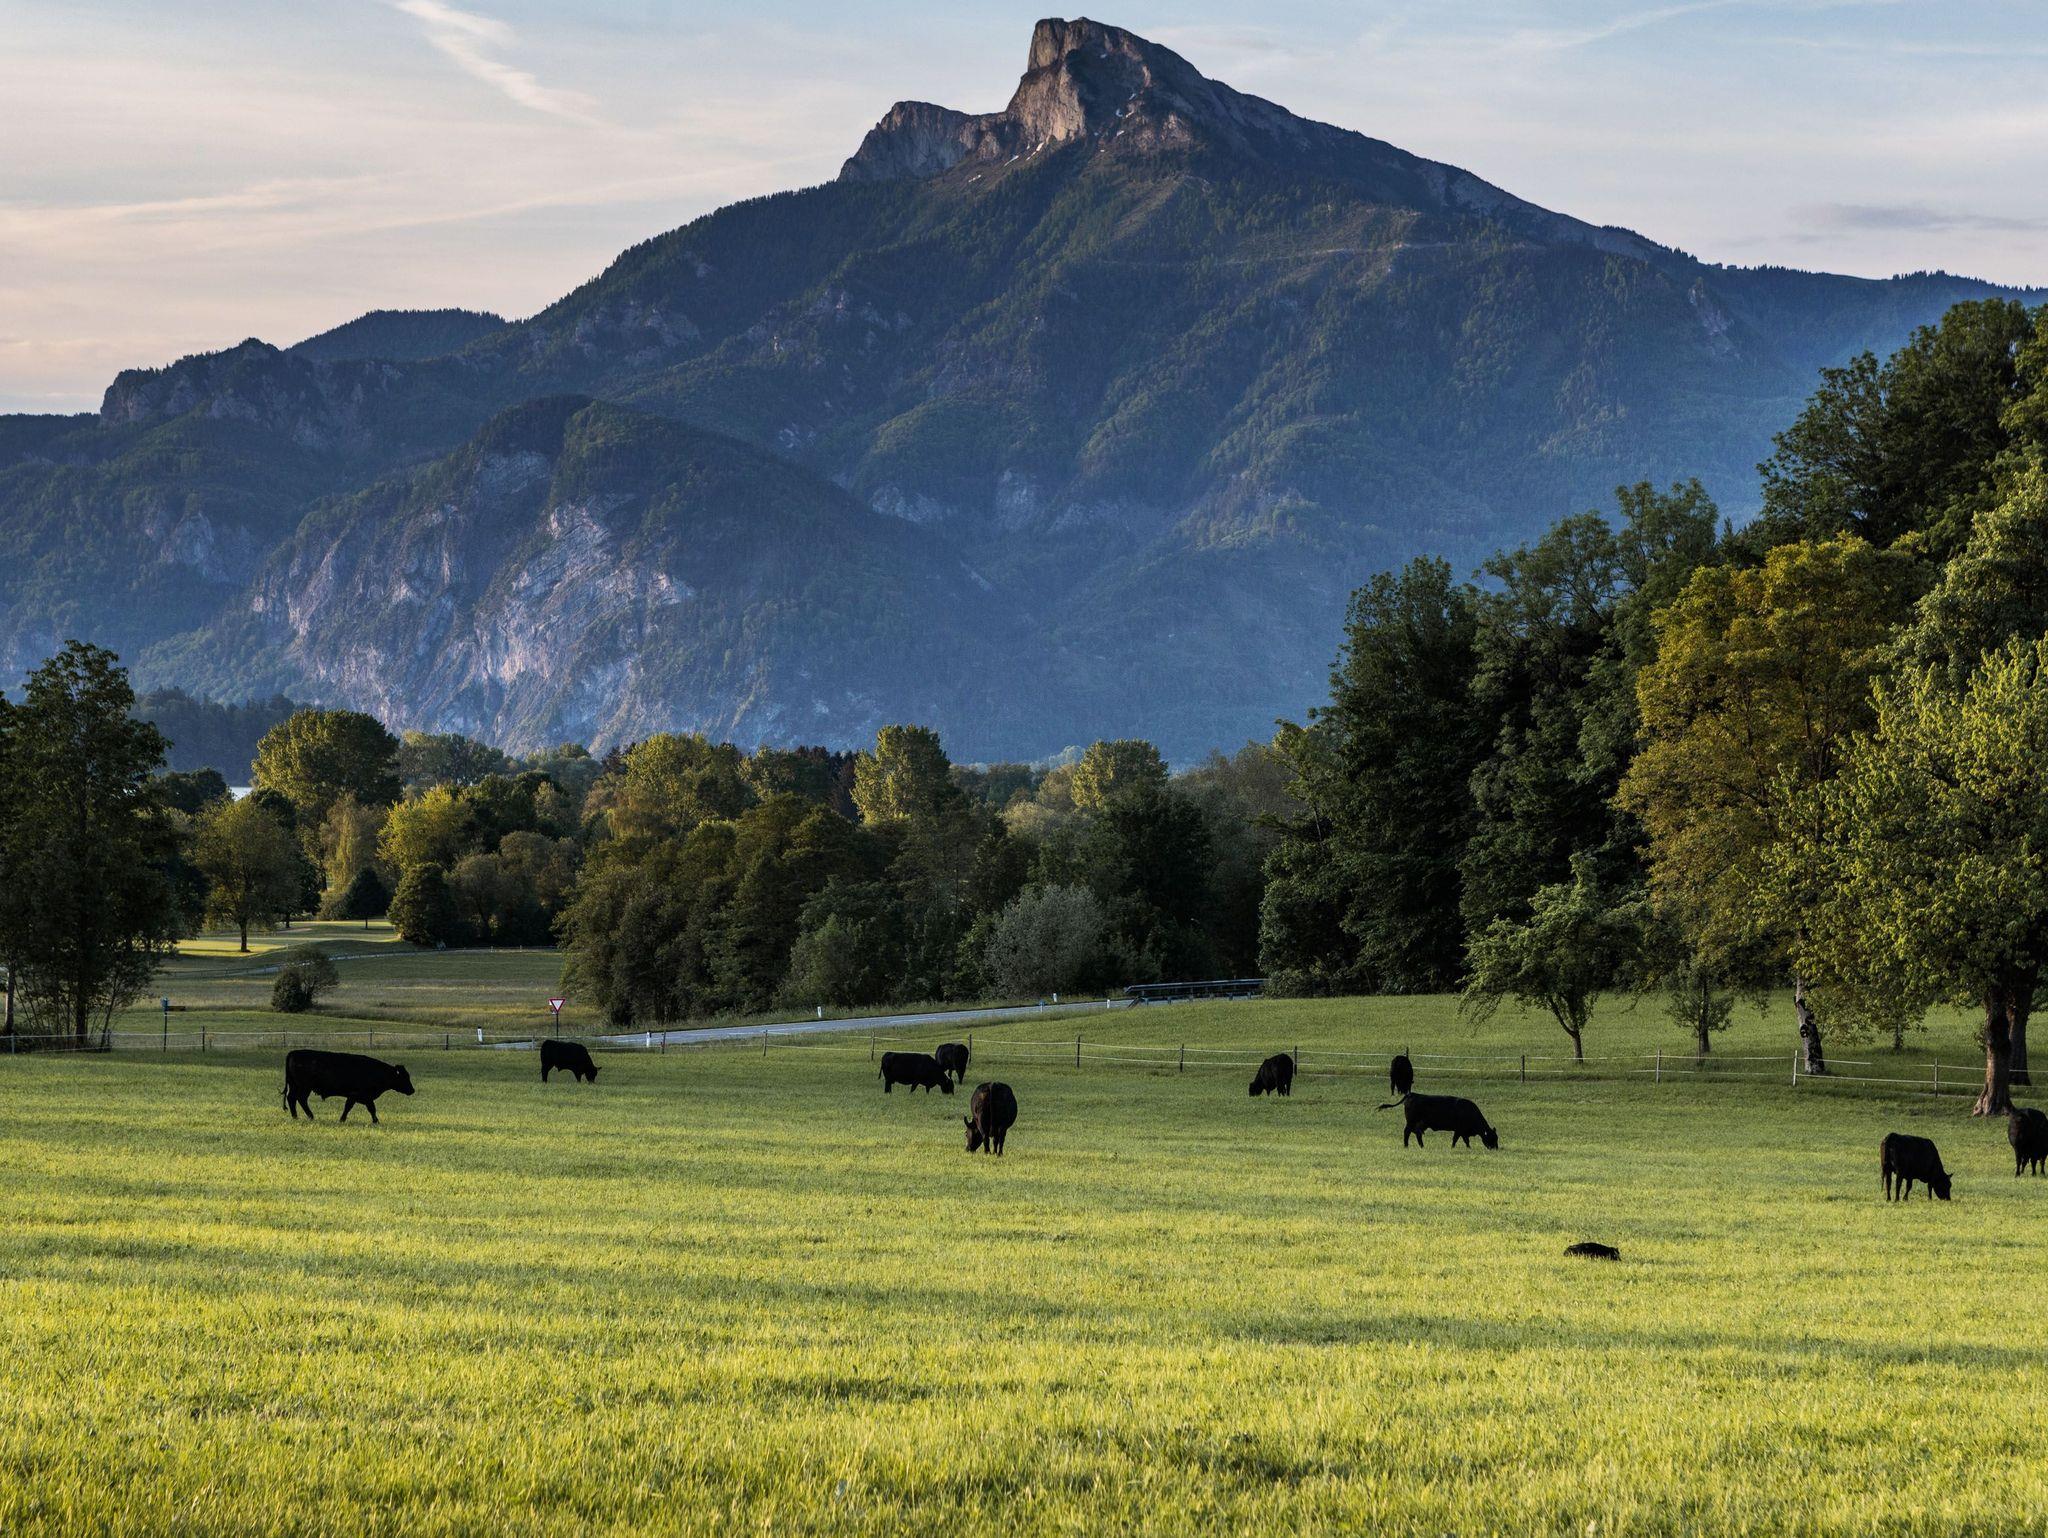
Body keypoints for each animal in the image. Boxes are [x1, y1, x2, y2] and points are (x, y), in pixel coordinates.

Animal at [283, 1049, 414, 1124]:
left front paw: (376, 1121)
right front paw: (342, 1119)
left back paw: (297, 1117)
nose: (412, 1090)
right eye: (404, 1077)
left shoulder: (366, 1097)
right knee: (299, 1099)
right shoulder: (355, 1095)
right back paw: (308, 1116)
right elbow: (349, 1107)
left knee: (293, 1098)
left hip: (296, 1086)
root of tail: (293, 1052)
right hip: (303, 1087)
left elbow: (371, 1108)